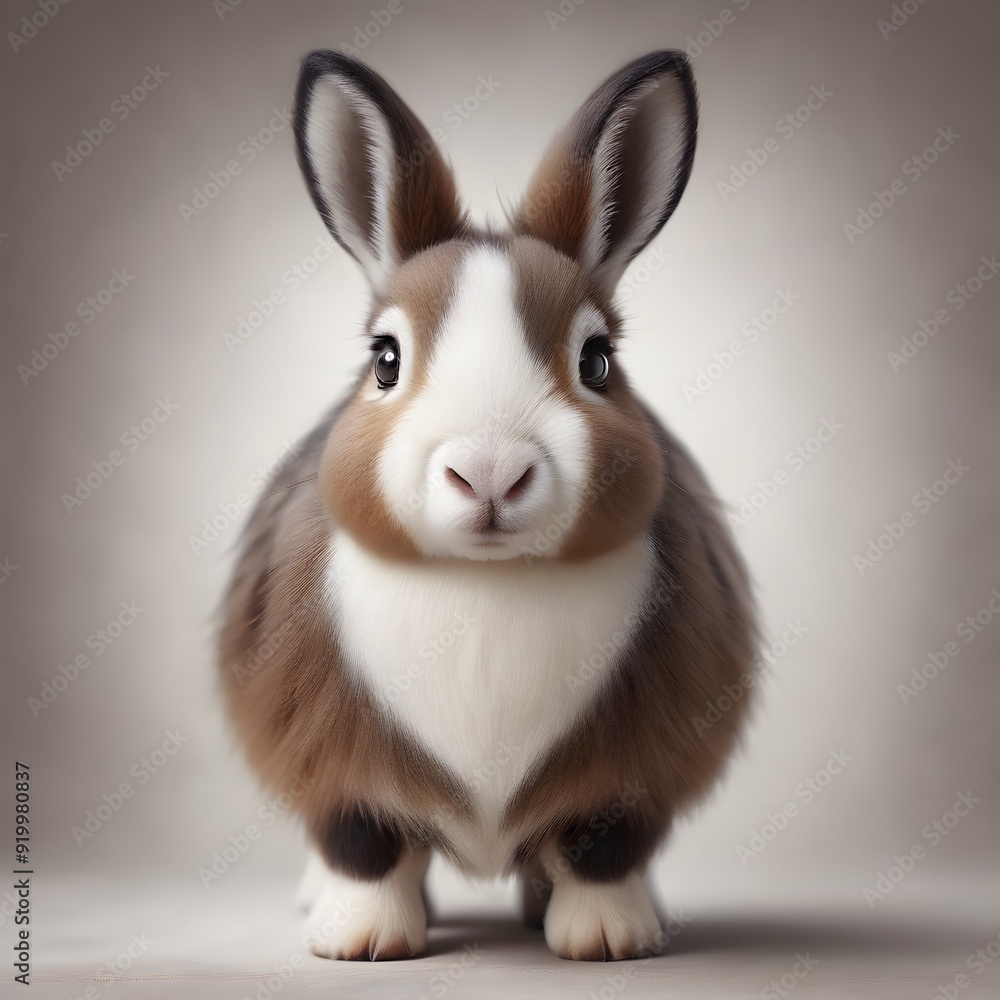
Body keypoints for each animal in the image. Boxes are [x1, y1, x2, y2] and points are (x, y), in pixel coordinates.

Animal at [217, 48, 756, 962]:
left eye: (597, 361)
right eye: (385, 359)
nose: (491, 472)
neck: (488, 584)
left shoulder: (632, 774)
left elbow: (602, 848)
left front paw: (607, 939)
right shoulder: (335, 764)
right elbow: (365, 845)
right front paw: (362, 942)